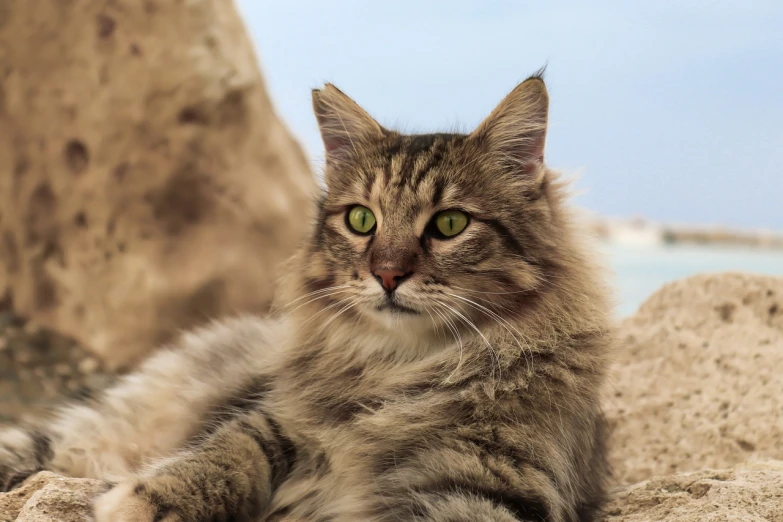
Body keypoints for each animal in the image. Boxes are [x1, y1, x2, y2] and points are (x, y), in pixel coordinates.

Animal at [0, 70, 612, 520]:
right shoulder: (275, 417)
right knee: (47, 445)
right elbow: (229, 449)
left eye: (450, 224)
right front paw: (149, 498)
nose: (387, 274)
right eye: (362, 220)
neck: (402, 367)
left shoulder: (487, 486)